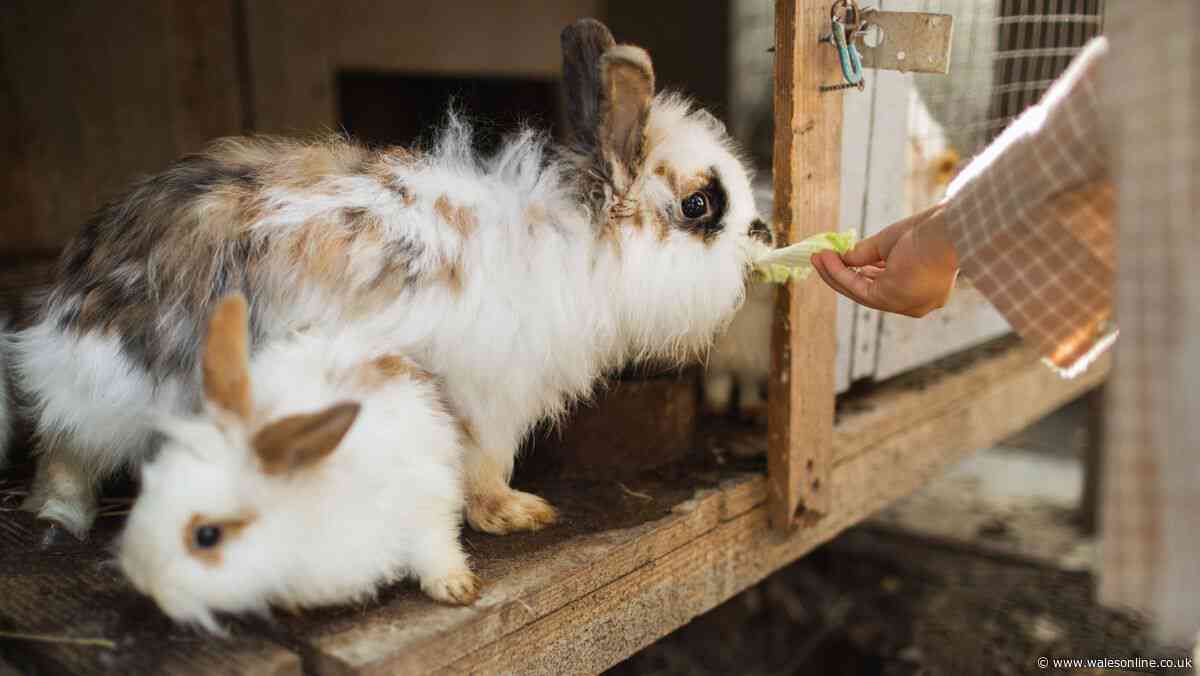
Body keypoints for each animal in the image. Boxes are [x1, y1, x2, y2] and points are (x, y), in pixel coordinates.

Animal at [13, 18, 772, 539]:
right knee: (68, 450)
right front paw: (519, 513)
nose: (763, 234)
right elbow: (484, 468)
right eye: (701, 206)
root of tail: (73, 305)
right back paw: (60, 517)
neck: (575, 242)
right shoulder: (489, 402)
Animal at [118, 295, 478, 633]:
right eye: (148, 486)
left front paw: (455, 587)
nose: (141, 578)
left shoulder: (426, 501)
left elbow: (436, 546)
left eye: (207, 535)